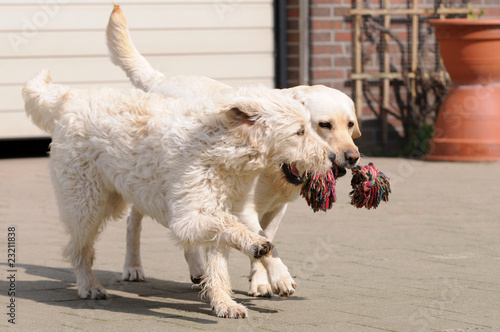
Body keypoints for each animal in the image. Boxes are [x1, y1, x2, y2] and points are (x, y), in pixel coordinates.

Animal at [22, 68, 336, 318]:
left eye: (310, 126)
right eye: (299, 132)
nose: (333, 157)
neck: (222, 147)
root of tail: (71, 99)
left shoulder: (225, 210)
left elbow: (223, 257)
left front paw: (224, 303)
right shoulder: (189, 217)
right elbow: (229, 228)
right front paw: (255, 245)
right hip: (86, 204)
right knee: (79, 250)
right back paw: (89, 286)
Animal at [106, 3, 364, 298]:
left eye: (350, 124)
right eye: (323, 125)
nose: (351, 157)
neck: (272, 170)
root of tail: (160, 80)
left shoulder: (277, 209)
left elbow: (266, 240)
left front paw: (260, 279)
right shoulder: (244, 208)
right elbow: (260, 241)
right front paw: (278, 277)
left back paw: (197, 269)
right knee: (134, 222)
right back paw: (134, 266)